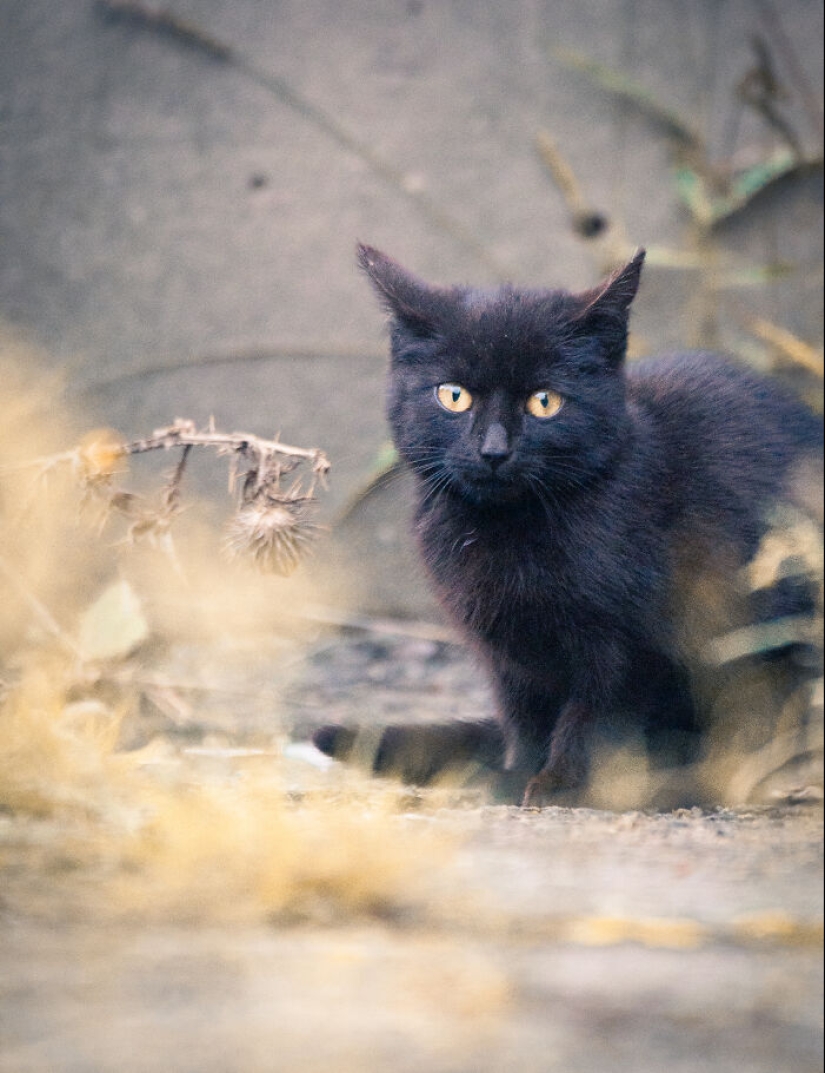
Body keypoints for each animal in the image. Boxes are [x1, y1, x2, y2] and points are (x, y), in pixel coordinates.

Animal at [313, 245, 815, 806]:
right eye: (453, 396)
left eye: (544, 402)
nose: (493, 451)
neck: (509, 533)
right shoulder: (506, 652)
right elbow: (526, 716)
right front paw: (515, 778)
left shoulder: (631, 643)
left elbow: (596, 715)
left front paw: (561, 784)